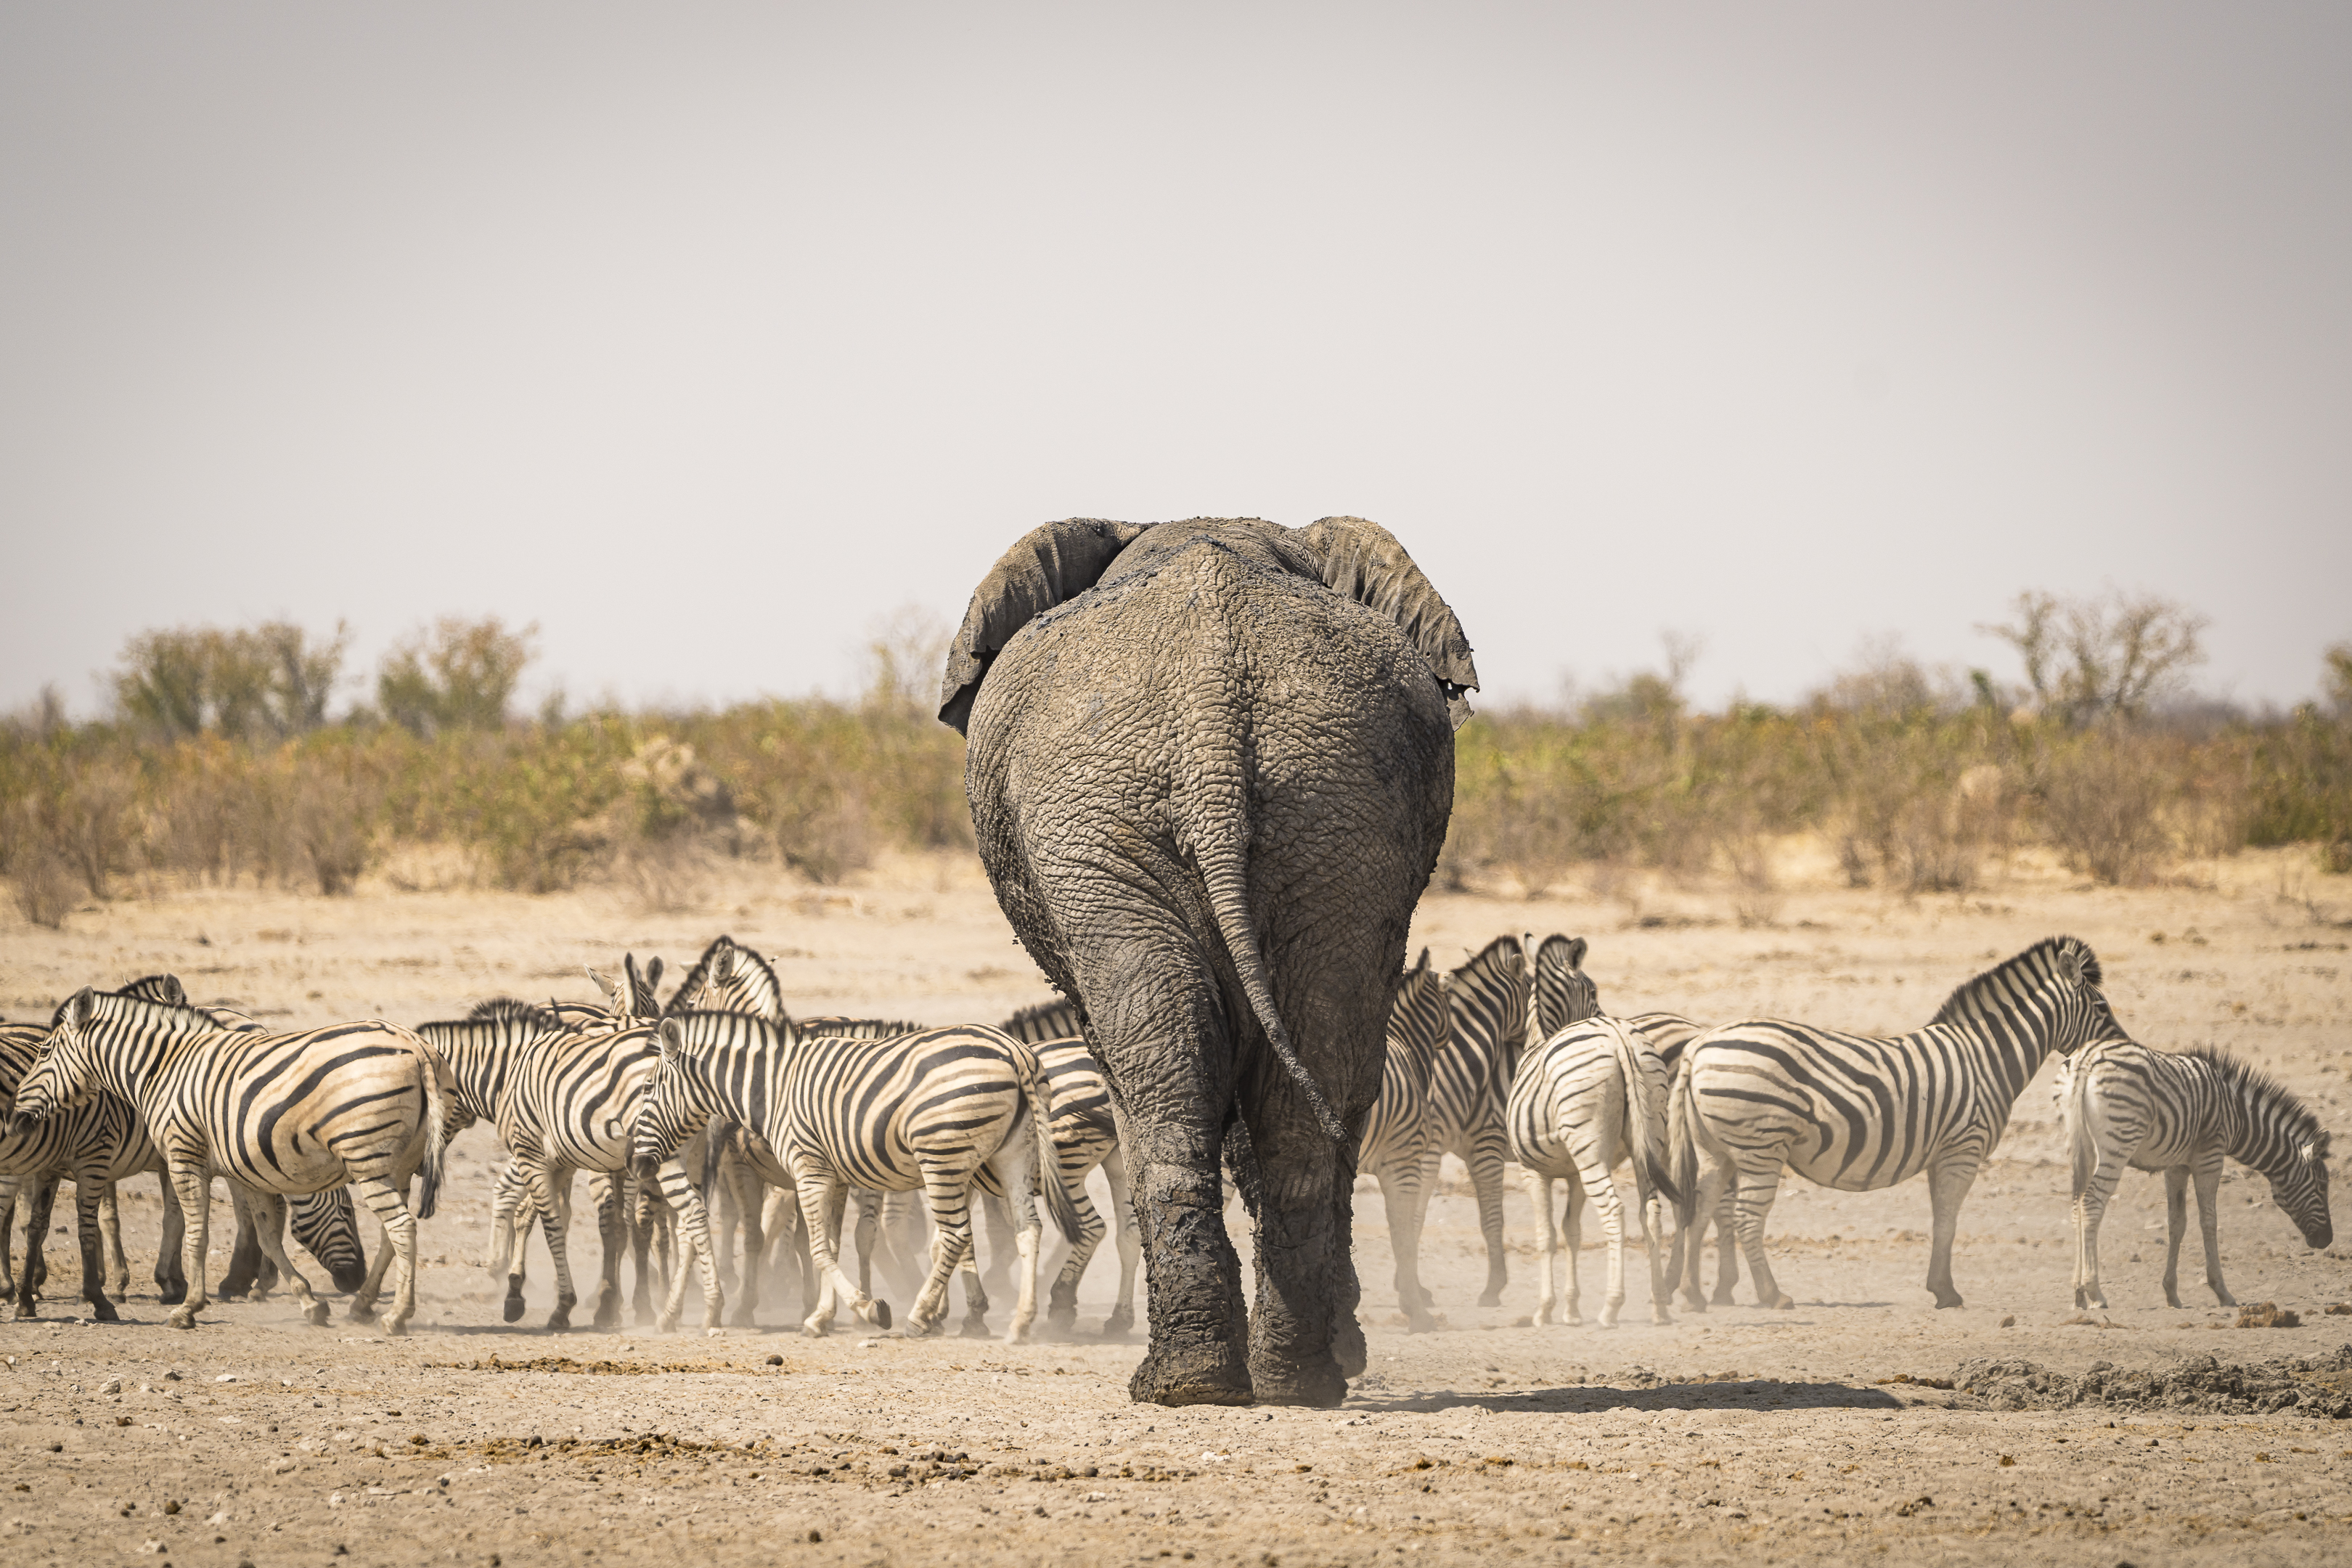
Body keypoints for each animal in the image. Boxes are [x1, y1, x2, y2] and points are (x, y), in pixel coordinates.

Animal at [940, 515, 1477, 1407]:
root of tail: (1209, 706)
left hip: (1124, 824)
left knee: (1172, 1089)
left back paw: (1196, 1383)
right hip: (1322, 821)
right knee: (1280, 1085)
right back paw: (1275, 1381)